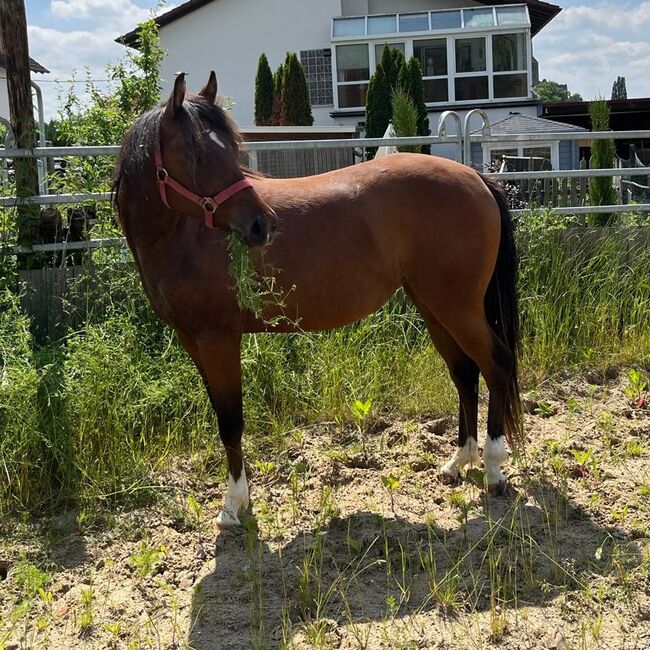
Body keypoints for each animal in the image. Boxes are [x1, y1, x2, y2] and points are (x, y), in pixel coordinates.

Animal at [112, 72, 520, 528]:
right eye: (196, 153)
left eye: (230, 149)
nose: (262, 225)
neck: (185, 236)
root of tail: (476, 177)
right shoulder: (192, 341)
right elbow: (222, 416)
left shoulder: (218, 340)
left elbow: (231, 422)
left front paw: (233, 506)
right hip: (433, 306)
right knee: (465, 373)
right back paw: (458, 462)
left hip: (457, 307)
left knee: (497, 365)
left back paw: (493, 469)